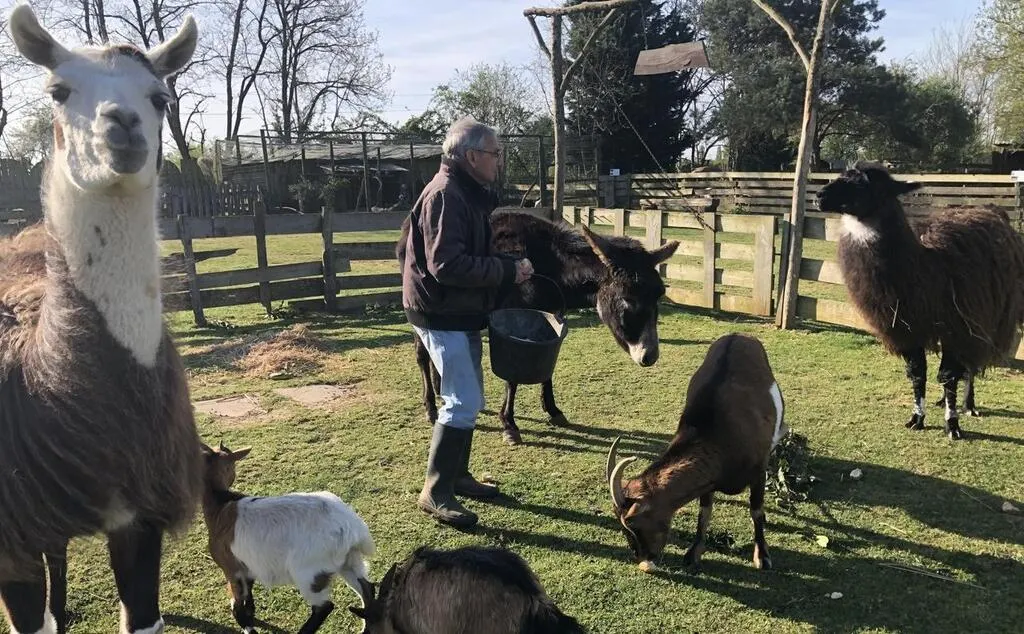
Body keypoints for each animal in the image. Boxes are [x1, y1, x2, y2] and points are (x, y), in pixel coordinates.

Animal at [201, 442, 376, 634]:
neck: (220, 504)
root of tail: (351, 527)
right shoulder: (247, 566)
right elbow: (248, 598)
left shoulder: (232, 569)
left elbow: (237, 606)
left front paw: (248, 626)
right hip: (349, 561)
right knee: (367, 588)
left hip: (309, 572)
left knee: (324, 607)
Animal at [606, 333, 787, 572]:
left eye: (632, 521)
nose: (642, 556)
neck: (717, 434)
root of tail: (739, 335)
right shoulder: (708, 481)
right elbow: (704, 513)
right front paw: (693, 553)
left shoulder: (758, 471)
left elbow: (756, 512)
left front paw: (762, 556)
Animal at [816, 162, 1024, 440]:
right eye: (841, 175)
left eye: (864, 184)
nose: (820, 196)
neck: (926, 269)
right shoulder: (907, 328)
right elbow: (918, 375)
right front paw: (917, 418)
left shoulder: (958, 326)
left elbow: (947, 375)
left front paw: (952, 425)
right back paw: (945, 401)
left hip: (989, 315)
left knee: (970, 366)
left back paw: (969, 405)